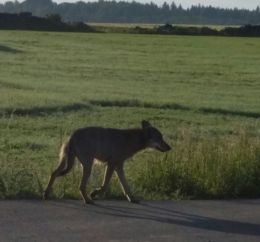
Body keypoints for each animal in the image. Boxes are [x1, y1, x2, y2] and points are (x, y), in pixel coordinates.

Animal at [43, 120, 171, 203]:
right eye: (159, 138)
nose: (170, 148)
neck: (131, 140)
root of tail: (72, 136)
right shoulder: (111, 164)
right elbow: (104, 186)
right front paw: (94, 193)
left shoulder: (118, 166)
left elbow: (126, 186)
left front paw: (132, 199)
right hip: (87, 166)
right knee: (81, 186)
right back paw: (88, 200)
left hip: (67, 164)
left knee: (53, 173)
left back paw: (46, 194)